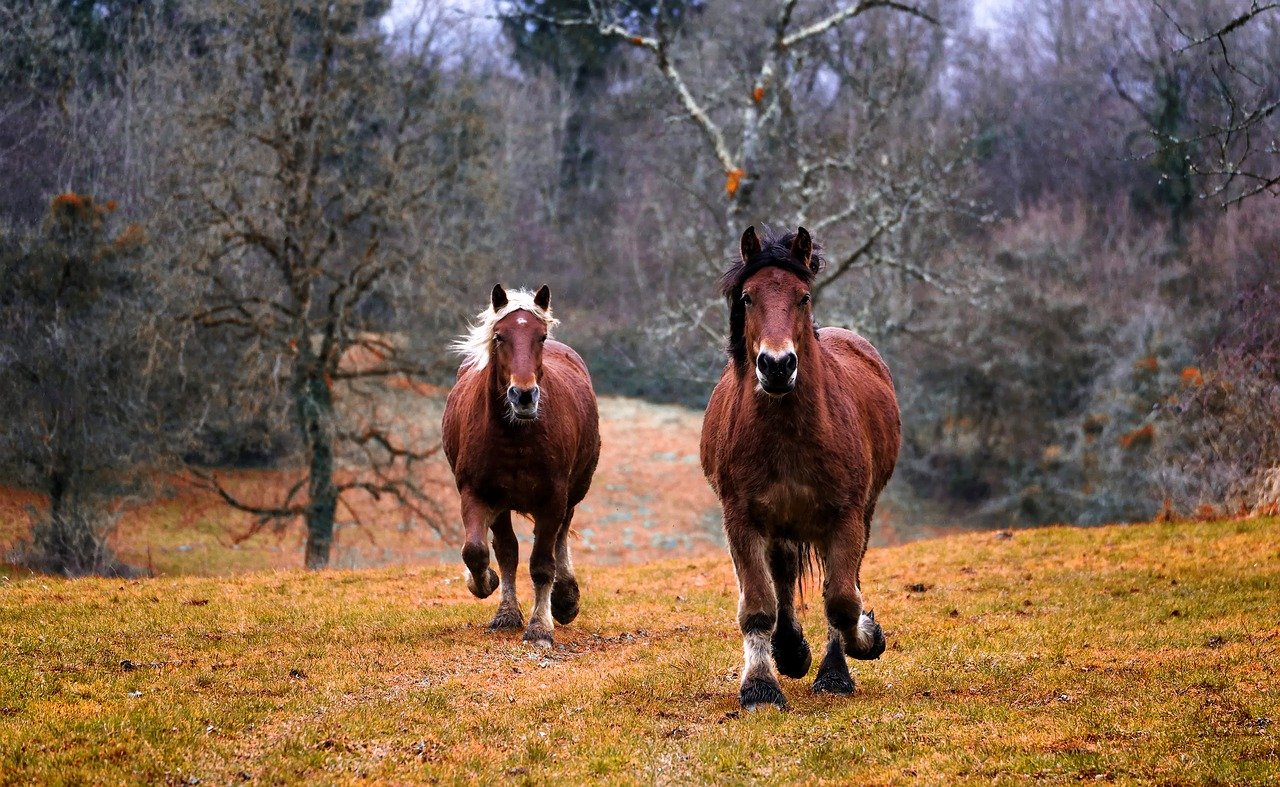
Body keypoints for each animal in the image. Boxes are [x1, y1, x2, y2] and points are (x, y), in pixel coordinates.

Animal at [442, 282, 601, 647]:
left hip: (573, 492)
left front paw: (541, 627)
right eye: (499, 336)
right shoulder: (478, 494)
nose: (524, 396)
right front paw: (486, 586)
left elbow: (542, 563)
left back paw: (565, 599)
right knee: (507, 550)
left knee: (560, 538)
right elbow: (478, 551)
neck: (515, 437)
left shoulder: (553, 498)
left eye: (540, 337)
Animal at [701, 225, 901, 711]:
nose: (777, 366)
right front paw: (760, 686)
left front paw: (862, 645)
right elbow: (759, 604)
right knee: (784, 577)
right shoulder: (742, 519)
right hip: (781, 524)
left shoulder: (846, 517)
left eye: (803, 297)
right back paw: (789, 651)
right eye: (748, 297)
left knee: (838, 583)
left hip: (857, 515)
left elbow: (843, 600)